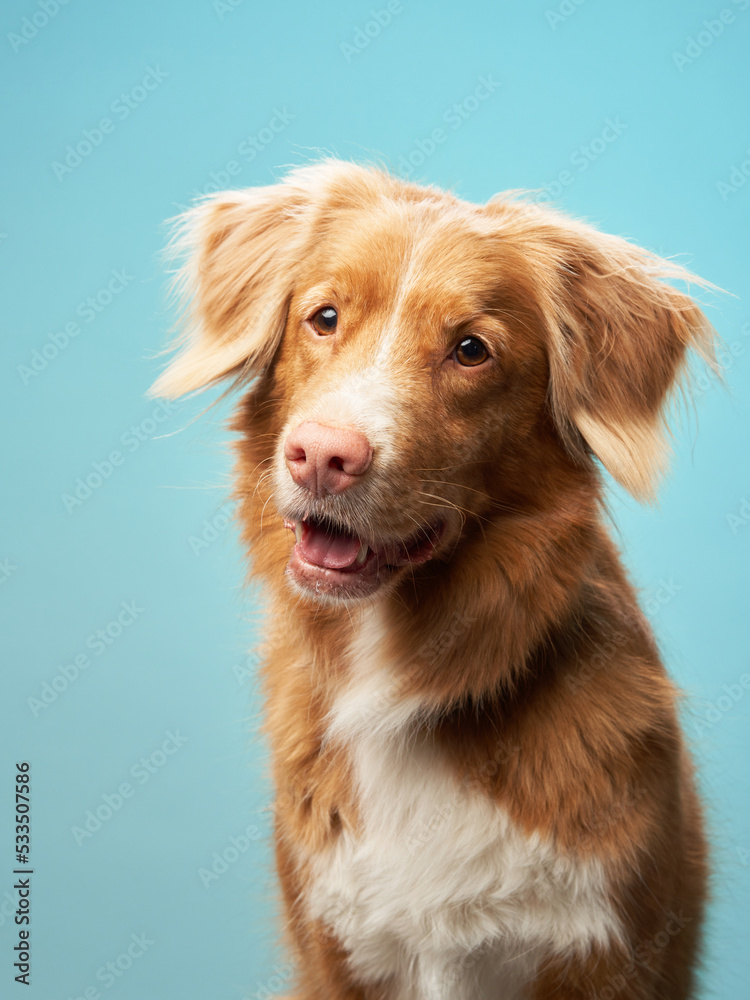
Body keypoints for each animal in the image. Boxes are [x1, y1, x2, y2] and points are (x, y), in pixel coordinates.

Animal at [151, 162, 716, 1000]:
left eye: (471, 350)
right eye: (324, 317)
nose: (322, 456)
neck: (406, 683)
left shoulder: (609, 955)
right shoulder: (337, 951)